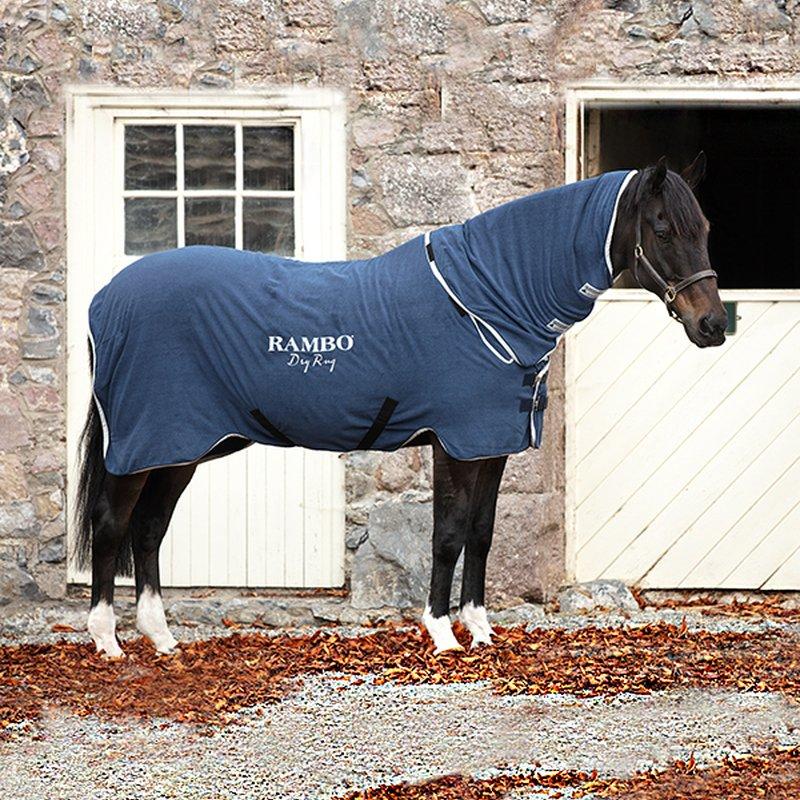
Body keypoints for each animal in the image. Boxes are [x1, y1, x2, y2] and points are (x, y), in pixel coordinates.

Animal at [74, 154, 726, 658]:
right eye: (663, 229)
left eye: (705, 226)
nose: (714, 326)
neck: (488, 298)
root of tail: (104, 301)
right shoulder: (455, 444)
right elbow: (447, 535)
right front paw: (441, 633)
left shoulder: (492, 444)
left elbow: (482, 533)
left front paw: (480, 630)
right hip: (145, 442)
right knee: (112, 525)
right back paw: (107, 640)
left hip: (179, 447)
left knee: (149, 530)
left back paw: (161, 638)